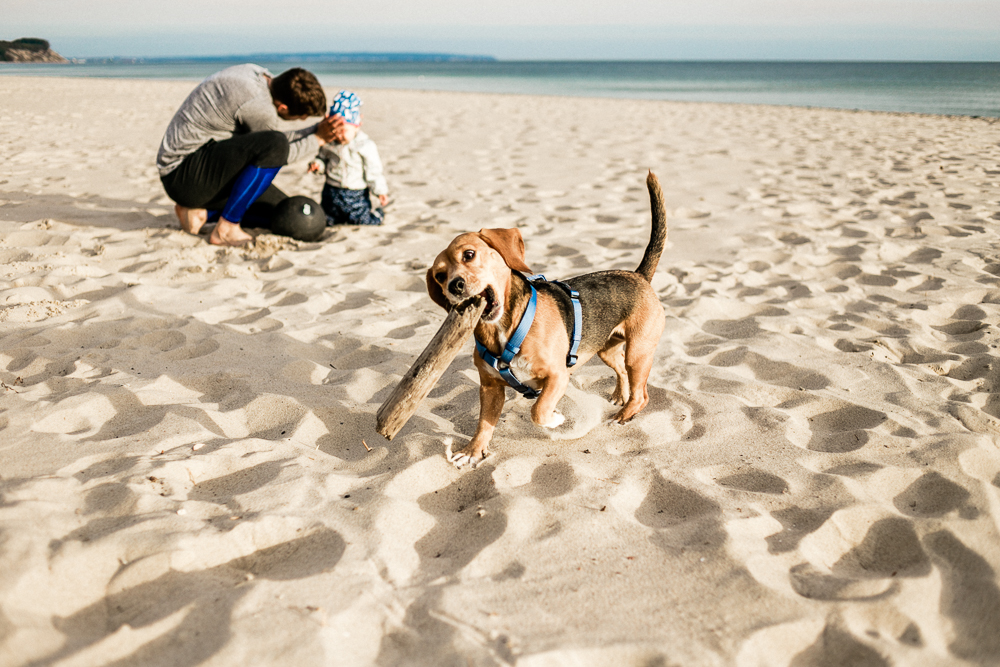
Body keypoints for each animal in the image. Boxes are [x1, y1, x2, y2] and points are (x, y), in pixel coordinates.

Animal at [426, 170, 668, 468]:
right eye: (439, 276)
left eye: (469, 254)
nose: (455, 286)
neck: (504, 329)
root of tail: (639, 275)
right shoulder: (490, 388)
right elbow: (484, 424)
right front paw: (473, 450)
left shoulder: (557, 376)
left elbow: (538, 411)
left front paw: (556, 419)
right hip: (606, 350)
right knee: (622, 371)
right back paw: (619, 396)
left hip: (639, 352)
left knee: (641, 394)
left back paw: (623, 416)